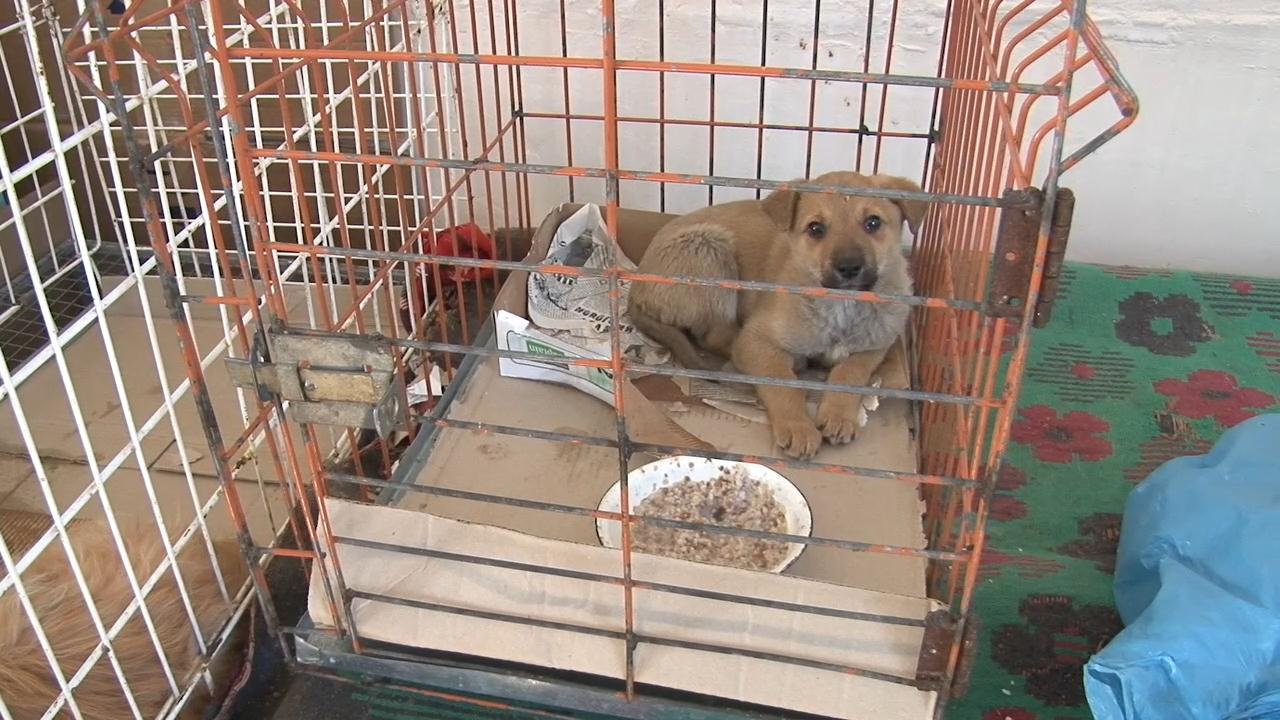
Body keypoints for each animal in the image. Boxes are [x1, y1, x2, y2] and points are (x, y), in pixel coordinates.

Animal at [630, 171, 927, 459]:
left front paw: (839, 415)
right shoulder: (755, 340)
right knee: (716, 337)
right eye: (816, 229)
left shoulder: (877, 345)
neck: (841, 306)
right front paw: (798, 427)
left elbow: (850, 372)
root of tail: (636, 283)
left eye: (873, 223)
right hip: (709, 250)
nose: (849, 267)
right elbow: (783, 383)